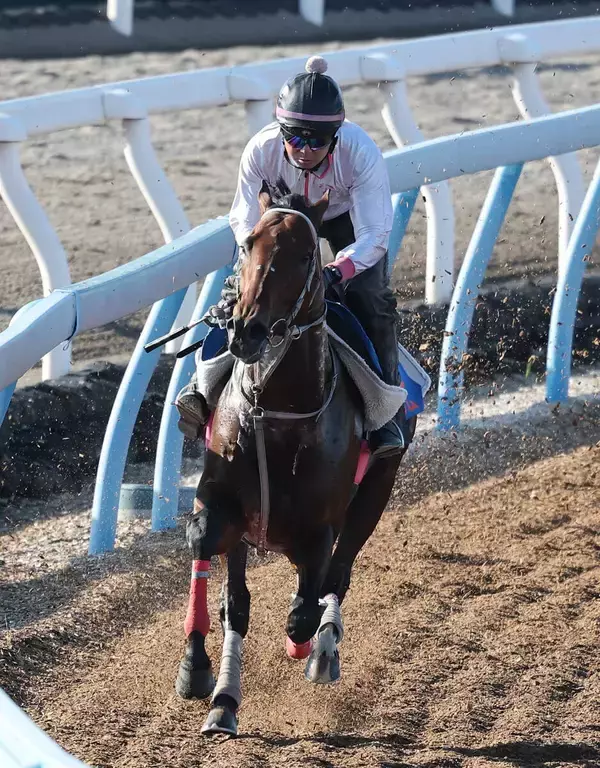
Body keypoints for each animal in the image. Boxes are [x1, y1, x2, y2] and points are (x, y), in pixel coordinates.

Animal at [175, 179, 415, 736]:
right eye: (248, 245)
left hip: (375, 492)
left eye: (307, 255)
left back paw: (322, 652)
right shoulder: (224, 505)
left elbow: (304, 606)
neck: (278, 412)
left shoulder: (318, 528)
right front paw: (204, 678)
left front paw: (305, 643)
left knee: (337, 577)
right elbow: (220, 577)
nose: (246, 330)